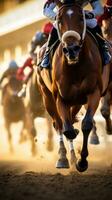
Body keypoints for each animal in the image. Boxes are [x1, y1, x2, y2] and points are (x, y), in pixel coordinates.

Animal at [37, 0, 107, 172]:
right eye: (60, 20)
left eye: (81, 18)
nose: (71, 49)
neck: (75, 67)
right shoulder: (60, 98)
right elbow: (66, 129)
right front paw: (69, 157)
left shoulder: (94, 92)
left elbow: (86, 124)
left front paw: (82, 162)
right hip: (47, 97)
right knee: (58, 124)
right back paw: (63, 157)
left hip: (77, 101)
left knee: (71, 118)